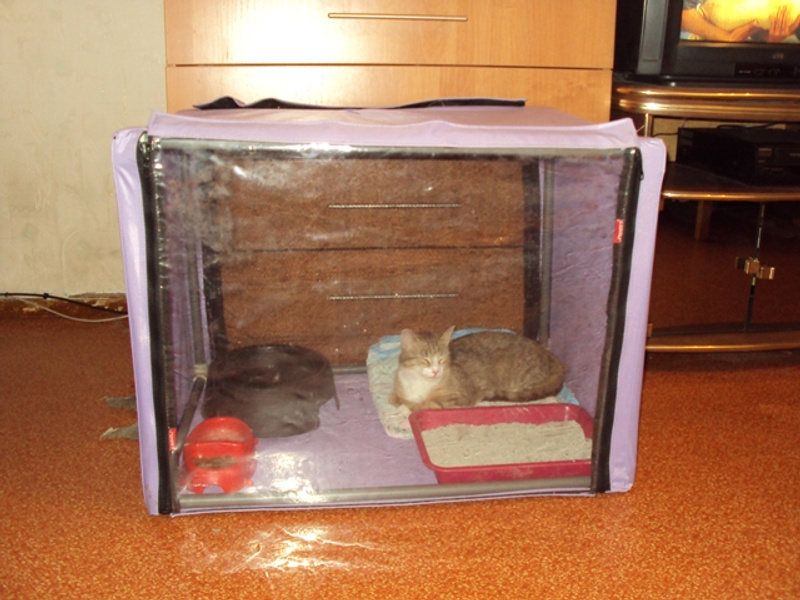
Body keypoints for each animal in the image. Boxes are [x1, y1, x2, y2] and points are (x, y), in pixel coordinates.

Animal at [389, 326, 566, 413]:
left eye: (442, 359)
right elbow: (397, 400)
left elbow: (426, 404)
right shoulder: (395, 393)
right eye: (425, 360)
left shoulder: (460, 398)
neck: (420, 384)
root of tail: (553, 358)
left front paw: (410, 408)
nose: (435, 371)